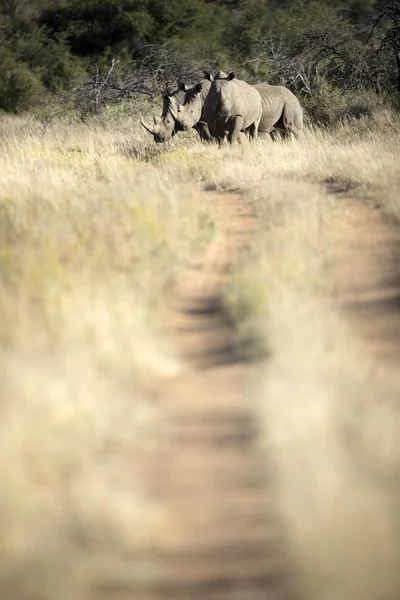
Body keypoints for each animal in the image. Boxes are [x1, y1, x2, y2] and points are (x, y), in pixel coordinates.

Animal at [169, 71, 304, 141]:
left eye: (191, 111)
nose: (182, 127)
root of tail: (293, 94)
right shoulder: (210, 120)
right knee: (281, 130)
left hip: (290, 103)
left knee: (291, 127)